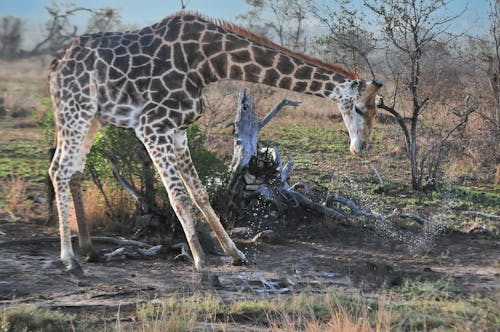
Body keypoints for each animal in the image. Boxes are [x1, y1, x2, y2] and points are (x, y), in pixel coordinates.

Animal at [47, 11, 382, 274]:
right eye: (358, 108)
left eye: (376, 110)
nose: (359, 147)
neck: (208, 63)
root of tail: (56, 64)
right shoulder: (152, 126)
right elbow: (179, 198)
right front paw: (202, 264)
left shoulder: (178, 129)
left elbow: (200, 194)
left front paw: (235, 253)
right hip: (74, 111)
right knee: (58, 169)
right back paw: (70, 259)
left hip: (93, 118)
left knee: (73, 170)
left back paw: (91, 251)